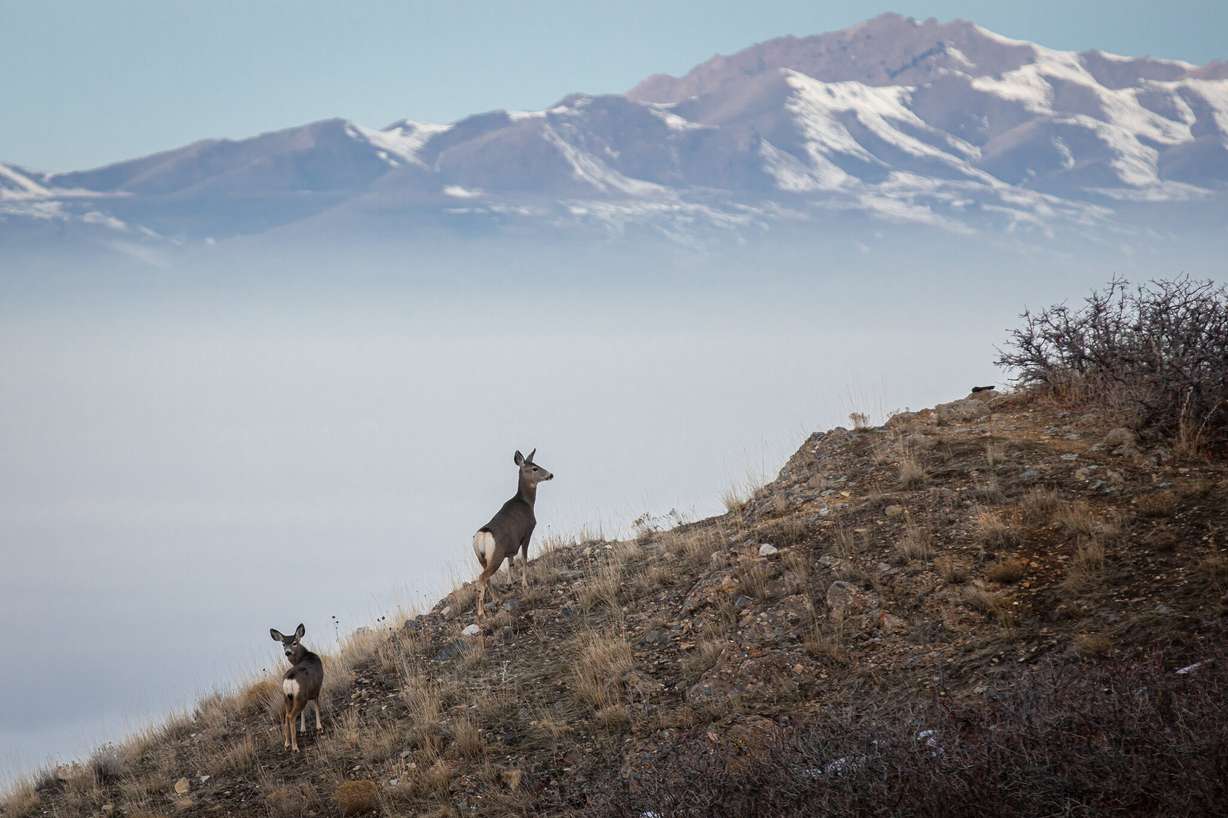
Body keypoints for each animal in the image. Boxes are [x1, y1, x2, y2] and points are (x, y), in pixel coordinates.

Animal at [269, 623, 324, 752]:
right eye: (283, 644)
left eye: (294, 643)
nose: (287, 652)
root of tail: (290, 679)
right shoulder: (316, 689)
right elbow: (316, 706)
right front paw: (319, 728)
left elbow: (304, 712)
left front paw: (303, 730)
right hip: (300, 696)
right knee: (291, 716)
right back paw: (295, 747)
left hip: (287, 697)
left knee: (285, 717)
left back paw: (287, 744)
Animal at [471, 448, 554, 620]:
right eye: (534, 468)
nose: (551, 475)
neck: (527, 502)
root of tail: (482, 536)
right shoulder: (527, 532)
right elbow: (524, 559)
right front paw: (525, 584)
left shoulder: (511, 547)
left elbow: (511, 563)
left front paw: (510, 583)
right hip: (496, 555)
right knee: (482, 578)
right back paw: (482, 612)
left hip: (481, 558)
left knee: (486, 577)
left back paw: (496, 600)